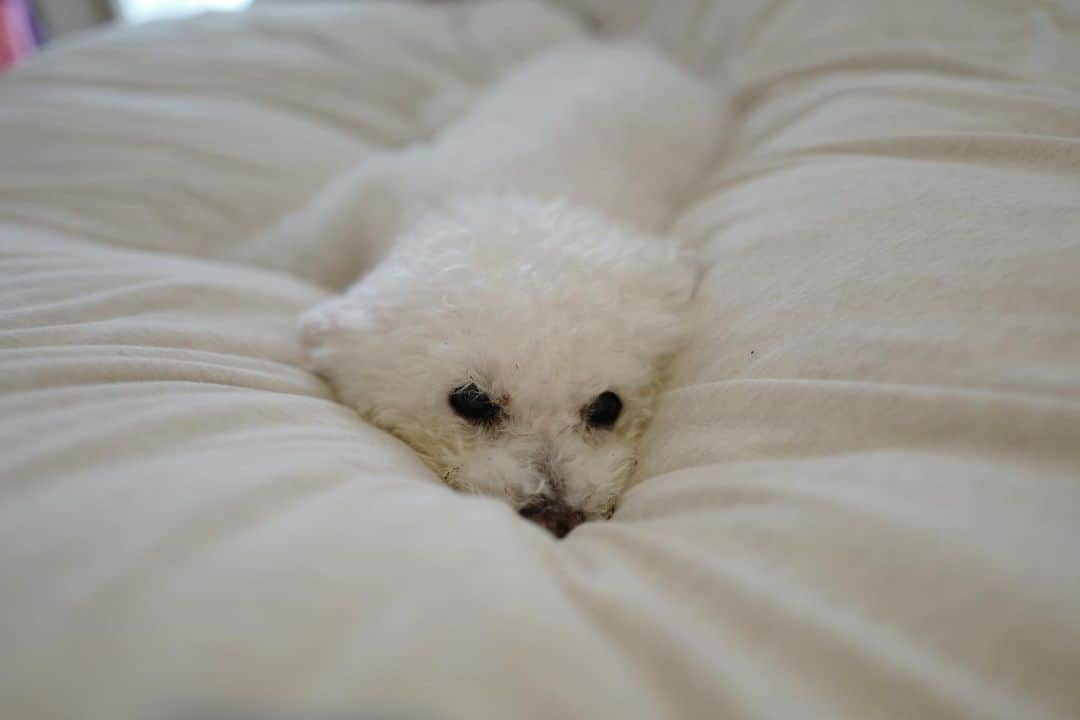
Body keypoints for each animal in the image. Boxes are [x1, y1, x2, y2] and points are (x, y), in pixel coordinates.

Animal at [287, 40, 725, 535]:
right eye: (471, 401)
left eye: (607, 407)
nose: (556, 515)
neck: (521, 198)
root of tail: (633, 50)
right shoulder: (374, 192)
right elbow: (306, 243)